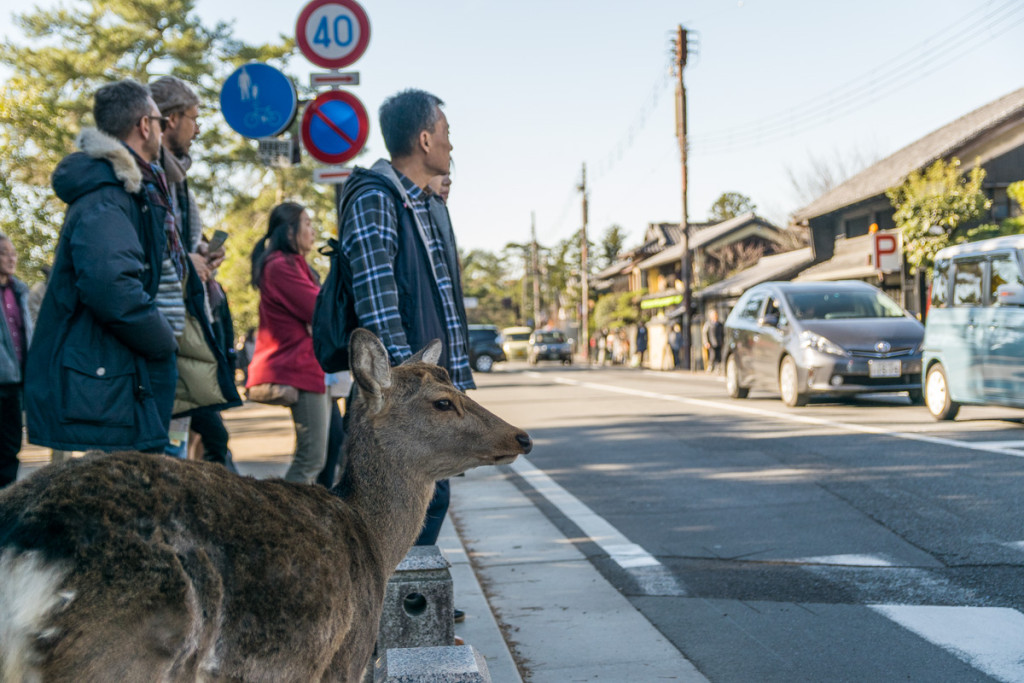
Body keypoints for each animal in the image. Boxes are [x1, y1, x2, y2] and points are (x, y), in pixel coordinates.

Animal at [0, 327, 528, 679]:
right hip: (120, 653)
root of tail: (23, 548)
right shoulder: (344, 654)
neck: (373, 540)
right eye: (443, 401)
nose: (521, 436)